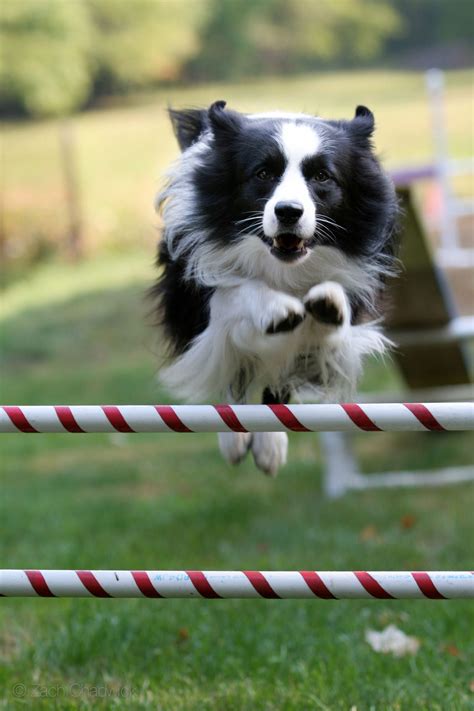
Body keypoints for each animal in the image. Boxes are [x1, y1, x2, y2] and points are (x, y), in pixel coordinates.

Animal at [151, 100, 396, 476]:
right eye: (263, 174)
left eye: (322, 176)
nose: (288, 212)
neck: (282, 267)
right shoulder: (195, 285)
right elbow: (234, 294)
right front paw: (275, 308)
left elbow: (323, 329)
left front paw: (329, 305)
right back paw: (237, 437)